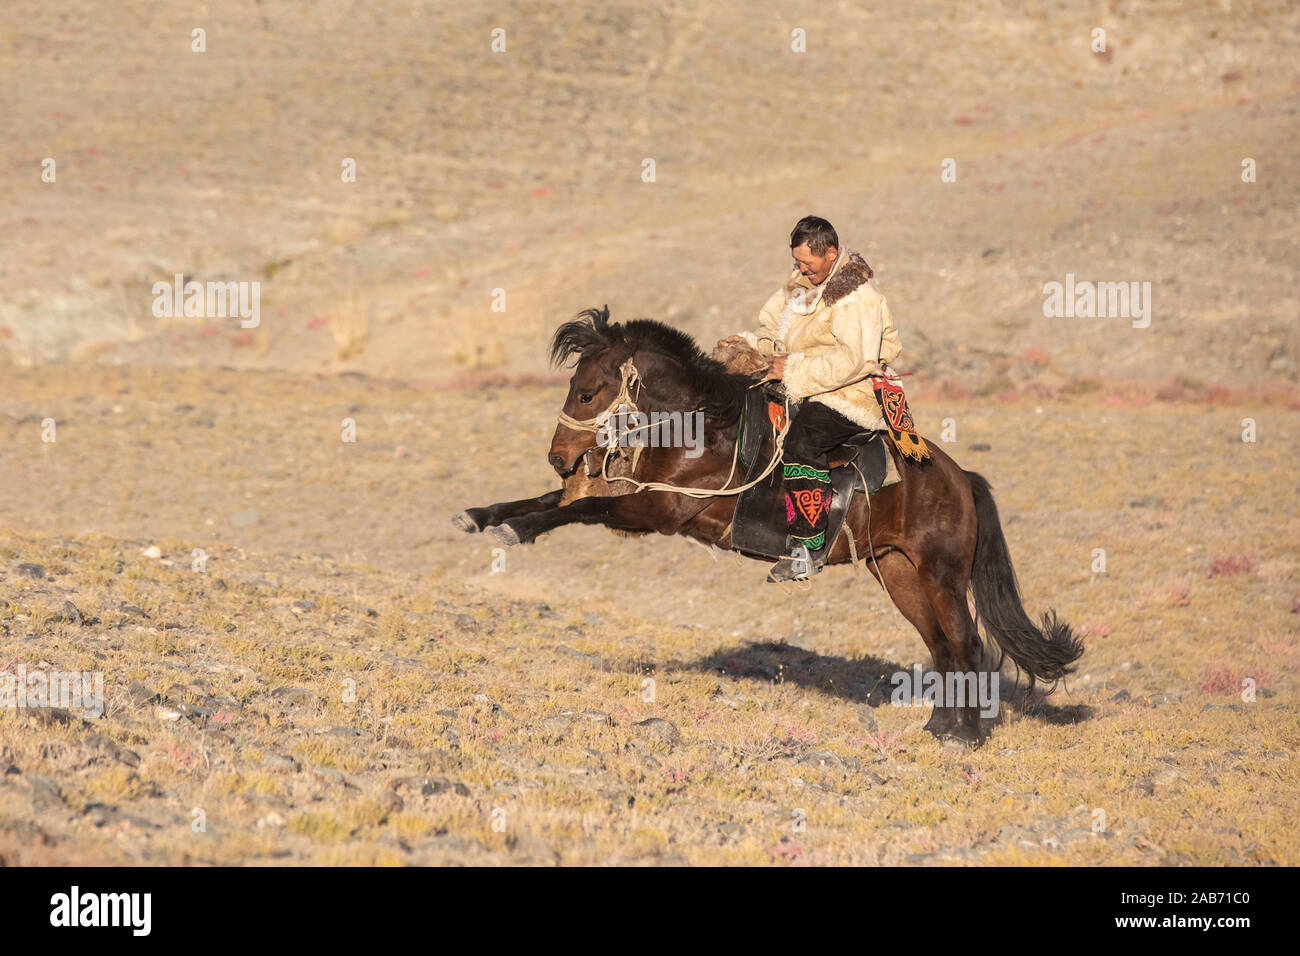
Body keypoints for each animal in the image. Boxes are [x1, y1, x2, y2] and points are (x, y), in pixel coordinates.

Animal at [452, 310, 1081, 743]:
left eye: (587, 392)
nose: (559, 457)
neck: (702, 428)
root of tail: (960, 480)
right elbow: (552, 500)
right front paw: (480, 516)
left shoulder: (657, 513)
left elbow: (575, 508)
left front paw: (515, 532)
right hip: (900, 575)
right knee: (942, 646)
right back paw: (939, 728)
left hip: (942, 575)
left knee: (967, 643)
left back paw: (967, 736)